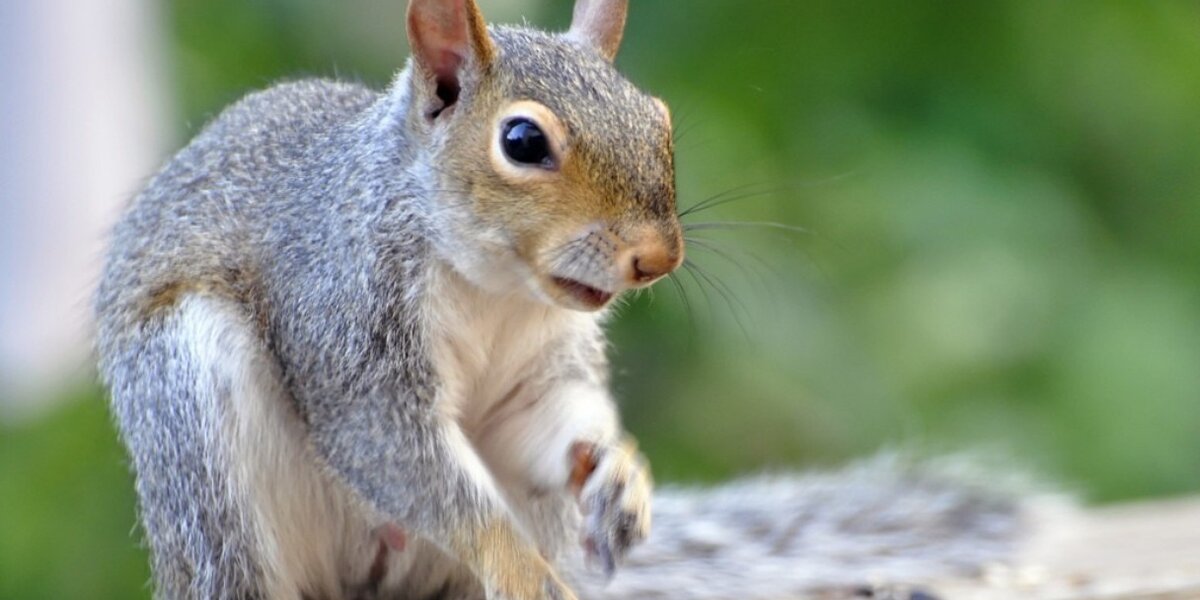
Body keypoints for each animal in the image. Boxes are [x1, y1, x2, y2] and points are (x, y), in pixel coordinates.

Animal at [96, 1, 1032, 600]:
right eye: (521, 140)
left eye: (659, 119)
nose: (657, 258)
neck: (493, 286)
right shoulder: (346, 316)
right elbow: (398, 452)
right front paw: (518, 566)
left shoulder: (541, 369)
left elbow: (551, 425)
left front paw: (622, 473)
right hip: (195, 414)